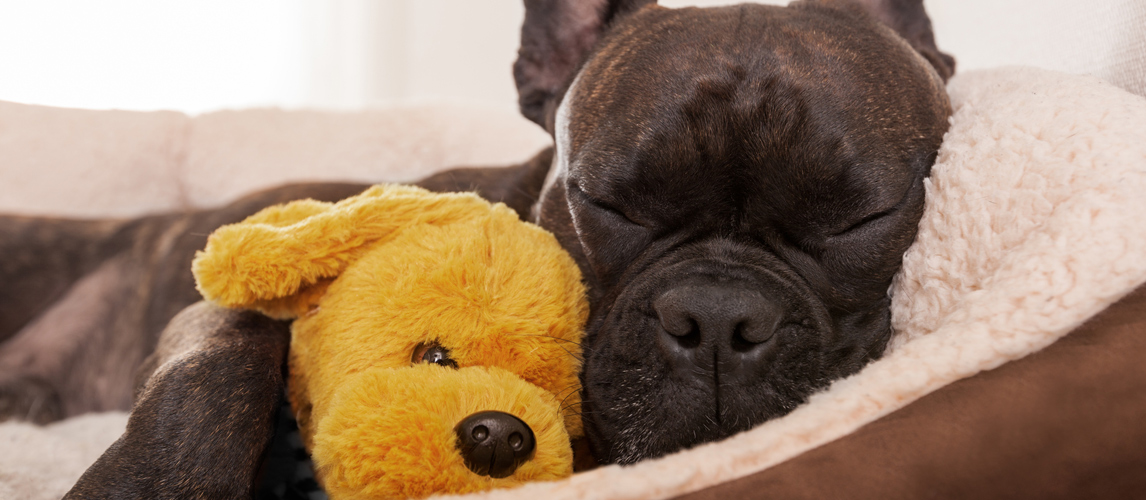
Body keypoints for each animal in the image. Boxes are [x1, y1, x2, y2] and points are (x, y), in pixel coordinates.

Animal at [0, 0, 948, 495]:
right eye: (605, 201)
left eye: (861, 218)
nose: (716, 319)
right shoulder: (224, 305)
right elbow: (219, 365)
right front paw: (149, 485)